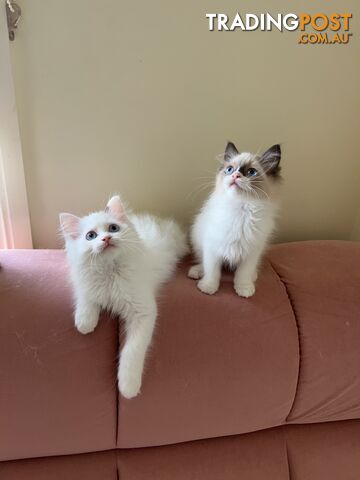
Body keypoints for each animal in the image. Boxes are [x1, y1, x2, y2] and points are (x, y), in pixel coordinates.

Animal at [59, 197, 187, 400]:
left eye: (113, 228)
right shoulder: (85, 283)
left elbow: (132, 351)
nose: (106, 238)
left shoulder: (143, 312)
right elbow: (86, 299)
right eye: (90, 236)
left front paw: (128, 386)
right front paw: (85, 323)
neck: (110, 272)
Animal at [188, 142, 282, 296]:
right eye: (230, 169)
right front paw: (208, 288)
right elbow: (212, 271)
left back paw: (253, 276)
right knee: (202, 262)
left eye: (251, 172)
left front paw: (244, 289)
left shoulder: (251, 252)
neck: (240, 210)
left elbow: (243, 273)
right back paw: (197, 272)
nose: (235, 175)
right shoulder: (212, 248)